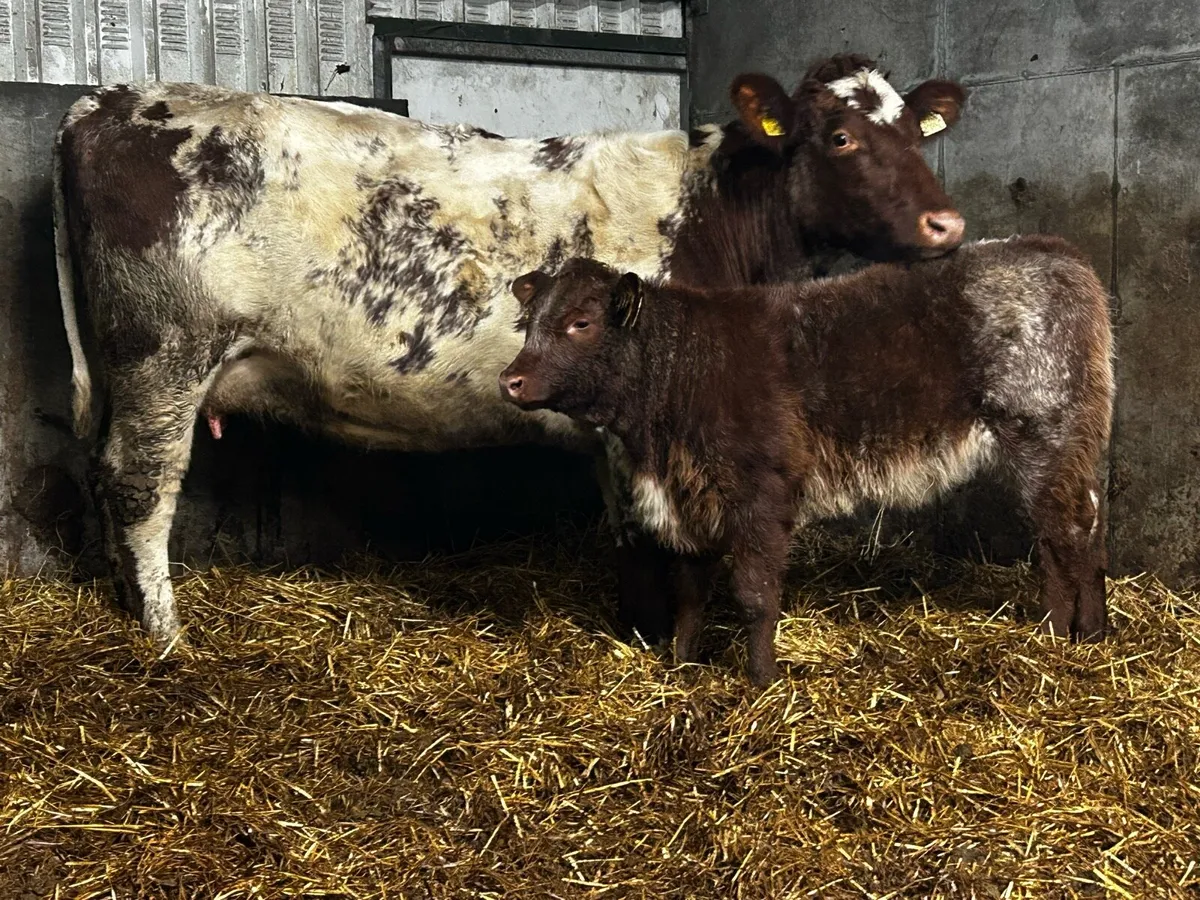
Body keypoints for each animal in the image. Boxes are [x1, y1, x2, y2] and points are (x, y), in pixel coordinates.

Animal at [53, 54, 968, 646]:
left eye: (918, 136)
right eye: (841, 137)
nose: (946, 224)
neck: (713, 215)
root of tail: (107, 100)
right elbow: (650, 536)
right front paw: (658, 647)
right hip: (164, 352)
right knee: (140, 487)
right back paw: (166, 635)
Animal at [499, 236, 1114, 685]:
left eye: (581, 323)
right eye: (527, 324)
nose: (511, 381)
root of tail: (1056, 251)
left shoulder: (760, 493)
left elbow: (754, 595)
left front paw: (762, 681)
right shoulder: (691, 500)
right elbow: (691, 592)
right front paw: (681, 665)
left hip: (1043, 434)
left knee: (1067, 535)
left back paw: (1074, 636)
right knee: (1072, 536)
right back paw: (1074, 634)